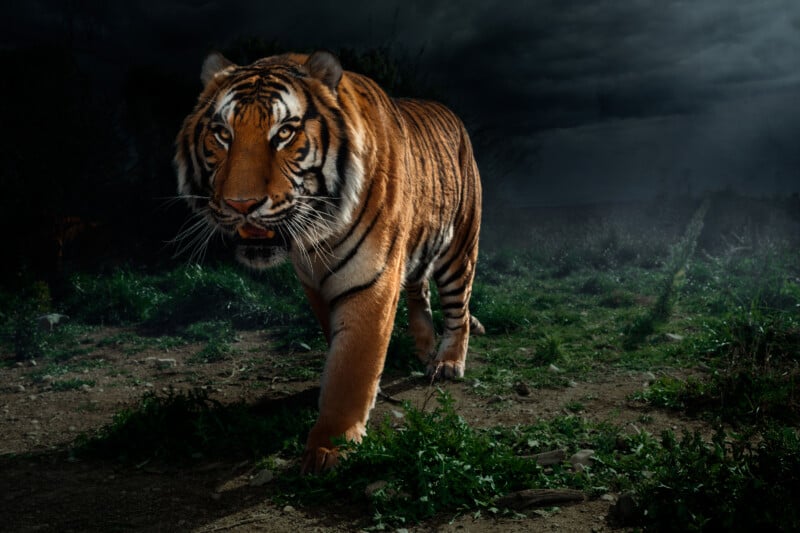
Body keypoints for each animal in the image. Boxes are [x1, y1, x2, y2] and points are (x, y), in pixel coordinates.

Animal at [174, 50, 483, 473]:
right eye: (222, 133)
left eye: (284, 133)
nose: (241, 205)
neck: (316, 234)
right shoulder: (315, 283)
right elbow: (337, 343)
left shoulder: (372, 278)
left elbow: (353, 361)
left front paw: (329, 448)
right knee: (420, 291)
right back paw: (424, 348)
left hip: (459, 248)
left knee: (459, 309)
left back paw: (448, 362)